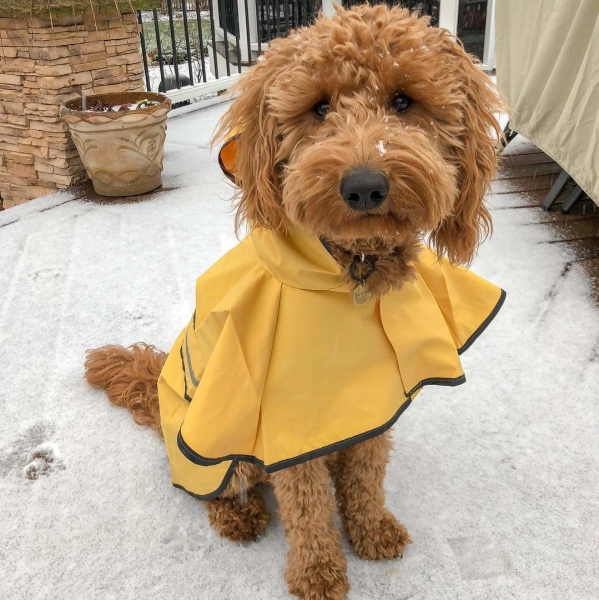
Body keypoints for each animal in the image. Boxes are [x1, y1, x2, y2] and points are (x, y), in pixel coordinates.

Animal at [84, 5, 506, 600]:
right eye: (319, 107)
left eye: (404, 101)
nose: (364, 187)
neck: (352, 270)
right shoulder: (287, 424)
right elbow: (305, 505)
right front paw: (319, 573)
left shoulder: (377, 400)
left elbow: (367, 471)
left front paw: (370, 528)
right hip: (222, 448)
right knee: (215, 489)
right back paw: (237, 516)